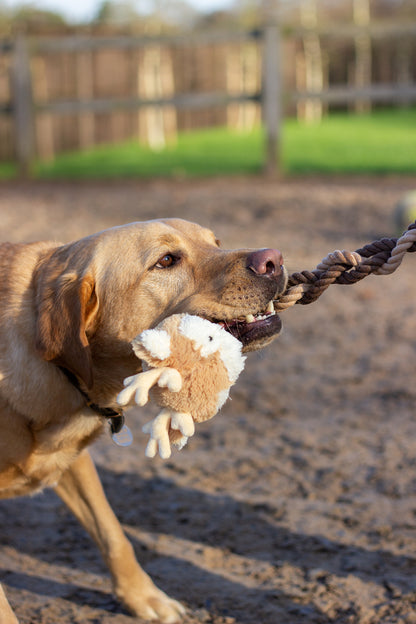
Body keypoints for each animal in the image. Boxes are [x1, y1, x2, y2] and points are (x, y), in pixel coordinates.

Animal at [0, 218, 286, 620]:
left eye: (215, 243)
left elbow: (114, 534)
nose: (274, 260)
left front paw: (146, 598)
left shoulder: (75, 462)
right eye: (166, 260)